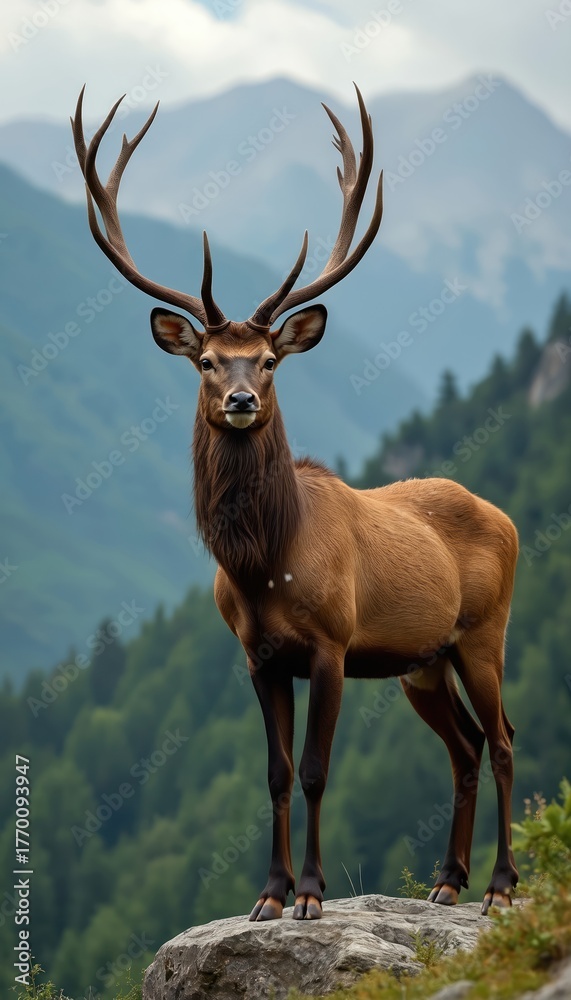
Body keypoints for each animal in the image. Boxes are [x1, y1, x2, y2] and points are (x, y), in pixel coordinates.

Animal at [71, 84, 519, 921]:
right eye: (208, 362)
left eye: (270, 359)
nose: (242, 399)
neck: (264, 564)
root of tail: (503, 516)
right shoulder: (257, 655)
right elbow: (275, 772)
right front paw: (269, 895)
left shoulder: (332, 645)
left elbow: (314, 768)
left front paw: (310, 895)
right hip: (421, 661)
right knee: (466, 746)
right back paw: (446, 880)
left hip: (483, 631)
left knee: (503, 736)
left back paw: (500, 887)